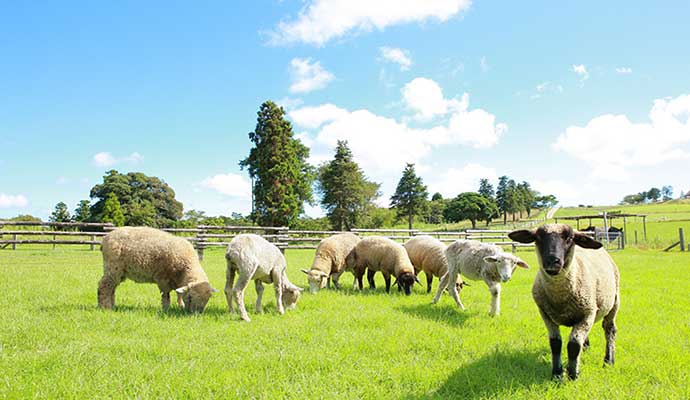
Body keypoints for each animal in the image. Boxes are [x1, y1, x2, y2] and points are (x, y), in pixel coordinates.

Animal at [508, 223, 620, 380]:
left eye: (570, 238)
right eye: (537, 237)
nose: (552, 261)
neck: (560, 297)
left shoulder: (588, 313)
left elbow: (573, 345)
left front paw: (573, 374)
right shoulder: (546, 314)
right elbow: (555, 344)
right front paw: (557, 373)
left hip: (614, 302)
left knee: (609, 329)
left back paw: (608, 360)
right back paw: (586, 348)